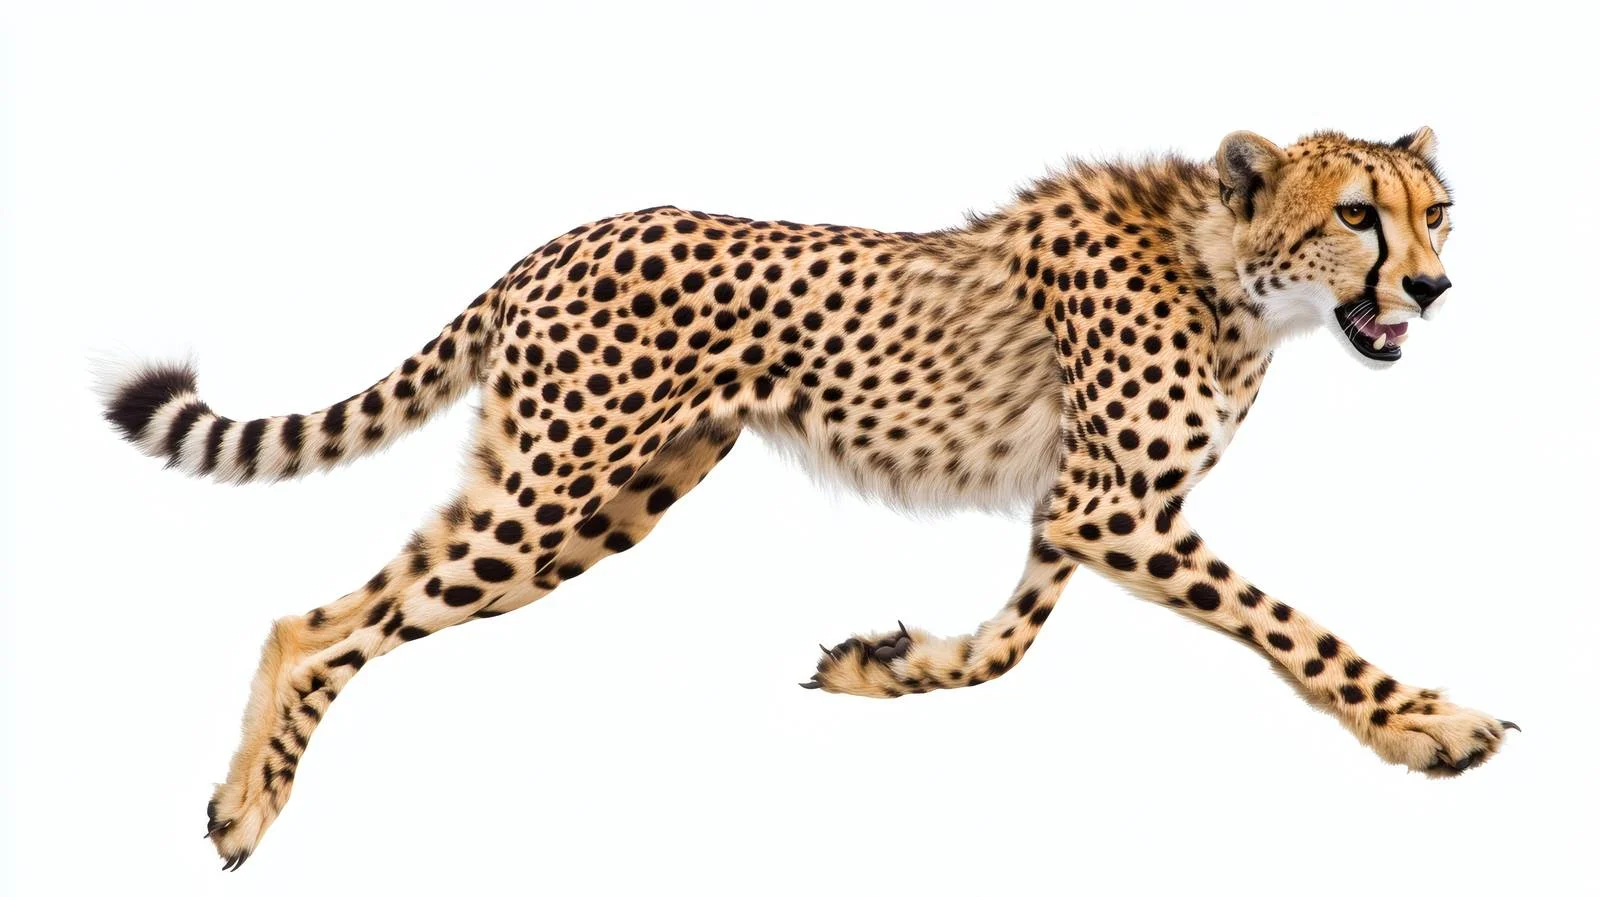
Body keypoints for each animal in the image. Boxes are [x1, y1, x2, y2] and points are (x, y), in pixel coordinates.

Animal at [98, 127, 1516, 871]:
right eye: (1356, 215)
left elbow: (1007, 644)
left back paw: (238, 792)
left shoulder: (1079, 511)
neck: (1232, 277)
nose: (1434, 288)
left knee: (320, 611)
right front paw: (1427, 726)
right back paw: (253, 809)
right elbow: (1293, 629)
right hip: (557, 499)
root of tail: (556, 241)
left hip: (586, 496)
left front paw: (884, 666)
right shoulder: (1119, 512)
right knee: (334, 632)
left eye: (1437, 212)